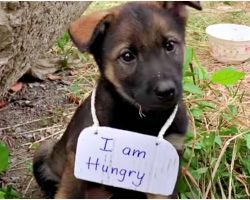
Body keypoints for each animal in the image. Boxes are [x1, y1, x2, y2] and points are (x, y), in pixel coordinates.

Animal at [32, 1, 201, 198]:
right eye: (127, 56)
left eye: (170, 45)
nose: (167, 91)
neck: (141, 118)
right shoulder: (77, 164)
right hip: (44, 149)